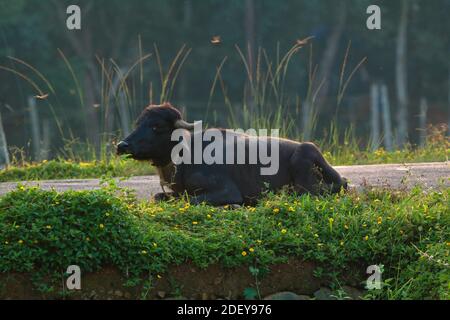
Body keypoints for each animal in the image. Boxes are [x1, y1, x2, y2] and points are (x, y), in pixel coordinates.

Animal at [117, 104, 348, 206]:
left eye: (157, 126)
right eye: (138, 123)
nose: (122, 145)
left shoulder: (227, 190)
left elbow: (192, 200)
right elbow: (159, 197)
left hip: (305, 166)